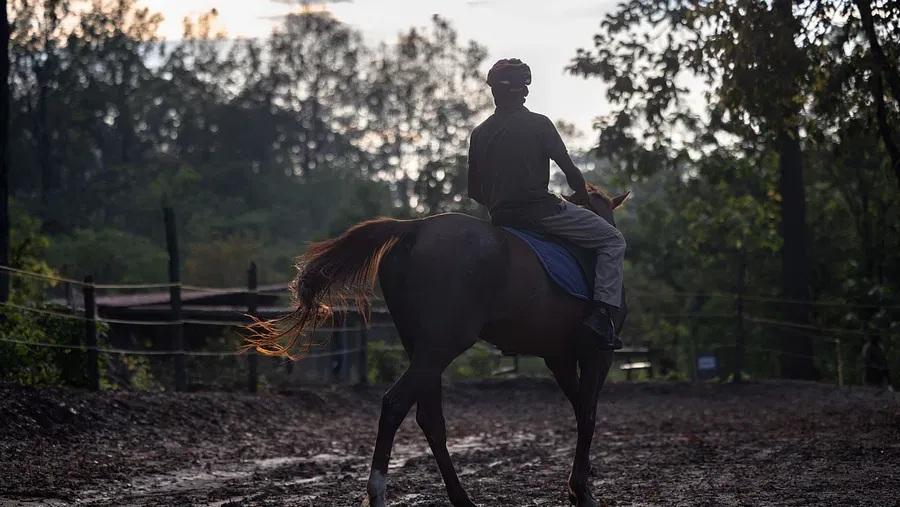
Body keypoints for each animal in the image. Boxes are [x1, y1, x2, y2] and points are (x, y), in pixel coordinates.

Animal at [247, 185, 629, 507]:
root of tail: (415, 228)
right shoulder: (598, 355)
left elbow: (580, 409)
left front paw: (581, 484)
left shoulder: (559, 357)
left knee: (430, 419)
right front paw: (582, 490)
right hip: (441, 347)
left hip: (425, 349)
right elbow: (588, 414)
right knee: (395, 404)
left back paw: (461, 498)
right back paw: (379, 494)